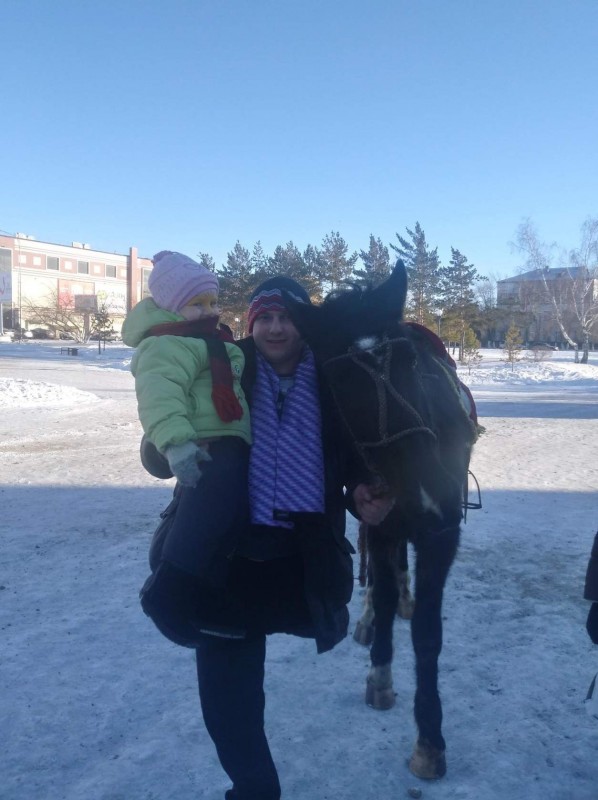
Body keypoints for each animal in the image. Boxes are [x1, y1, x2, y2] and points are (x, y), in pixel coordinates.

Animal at [283, 260, 479, 779]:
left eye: (411, 363)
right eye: (338, 384)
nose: (427, 494)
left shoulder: (442, 532)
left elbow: (427, 633)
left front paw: (429, 739)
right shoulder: (388, 517)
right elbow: (386, 594)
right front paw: (381, 674)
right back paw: (371, 617)